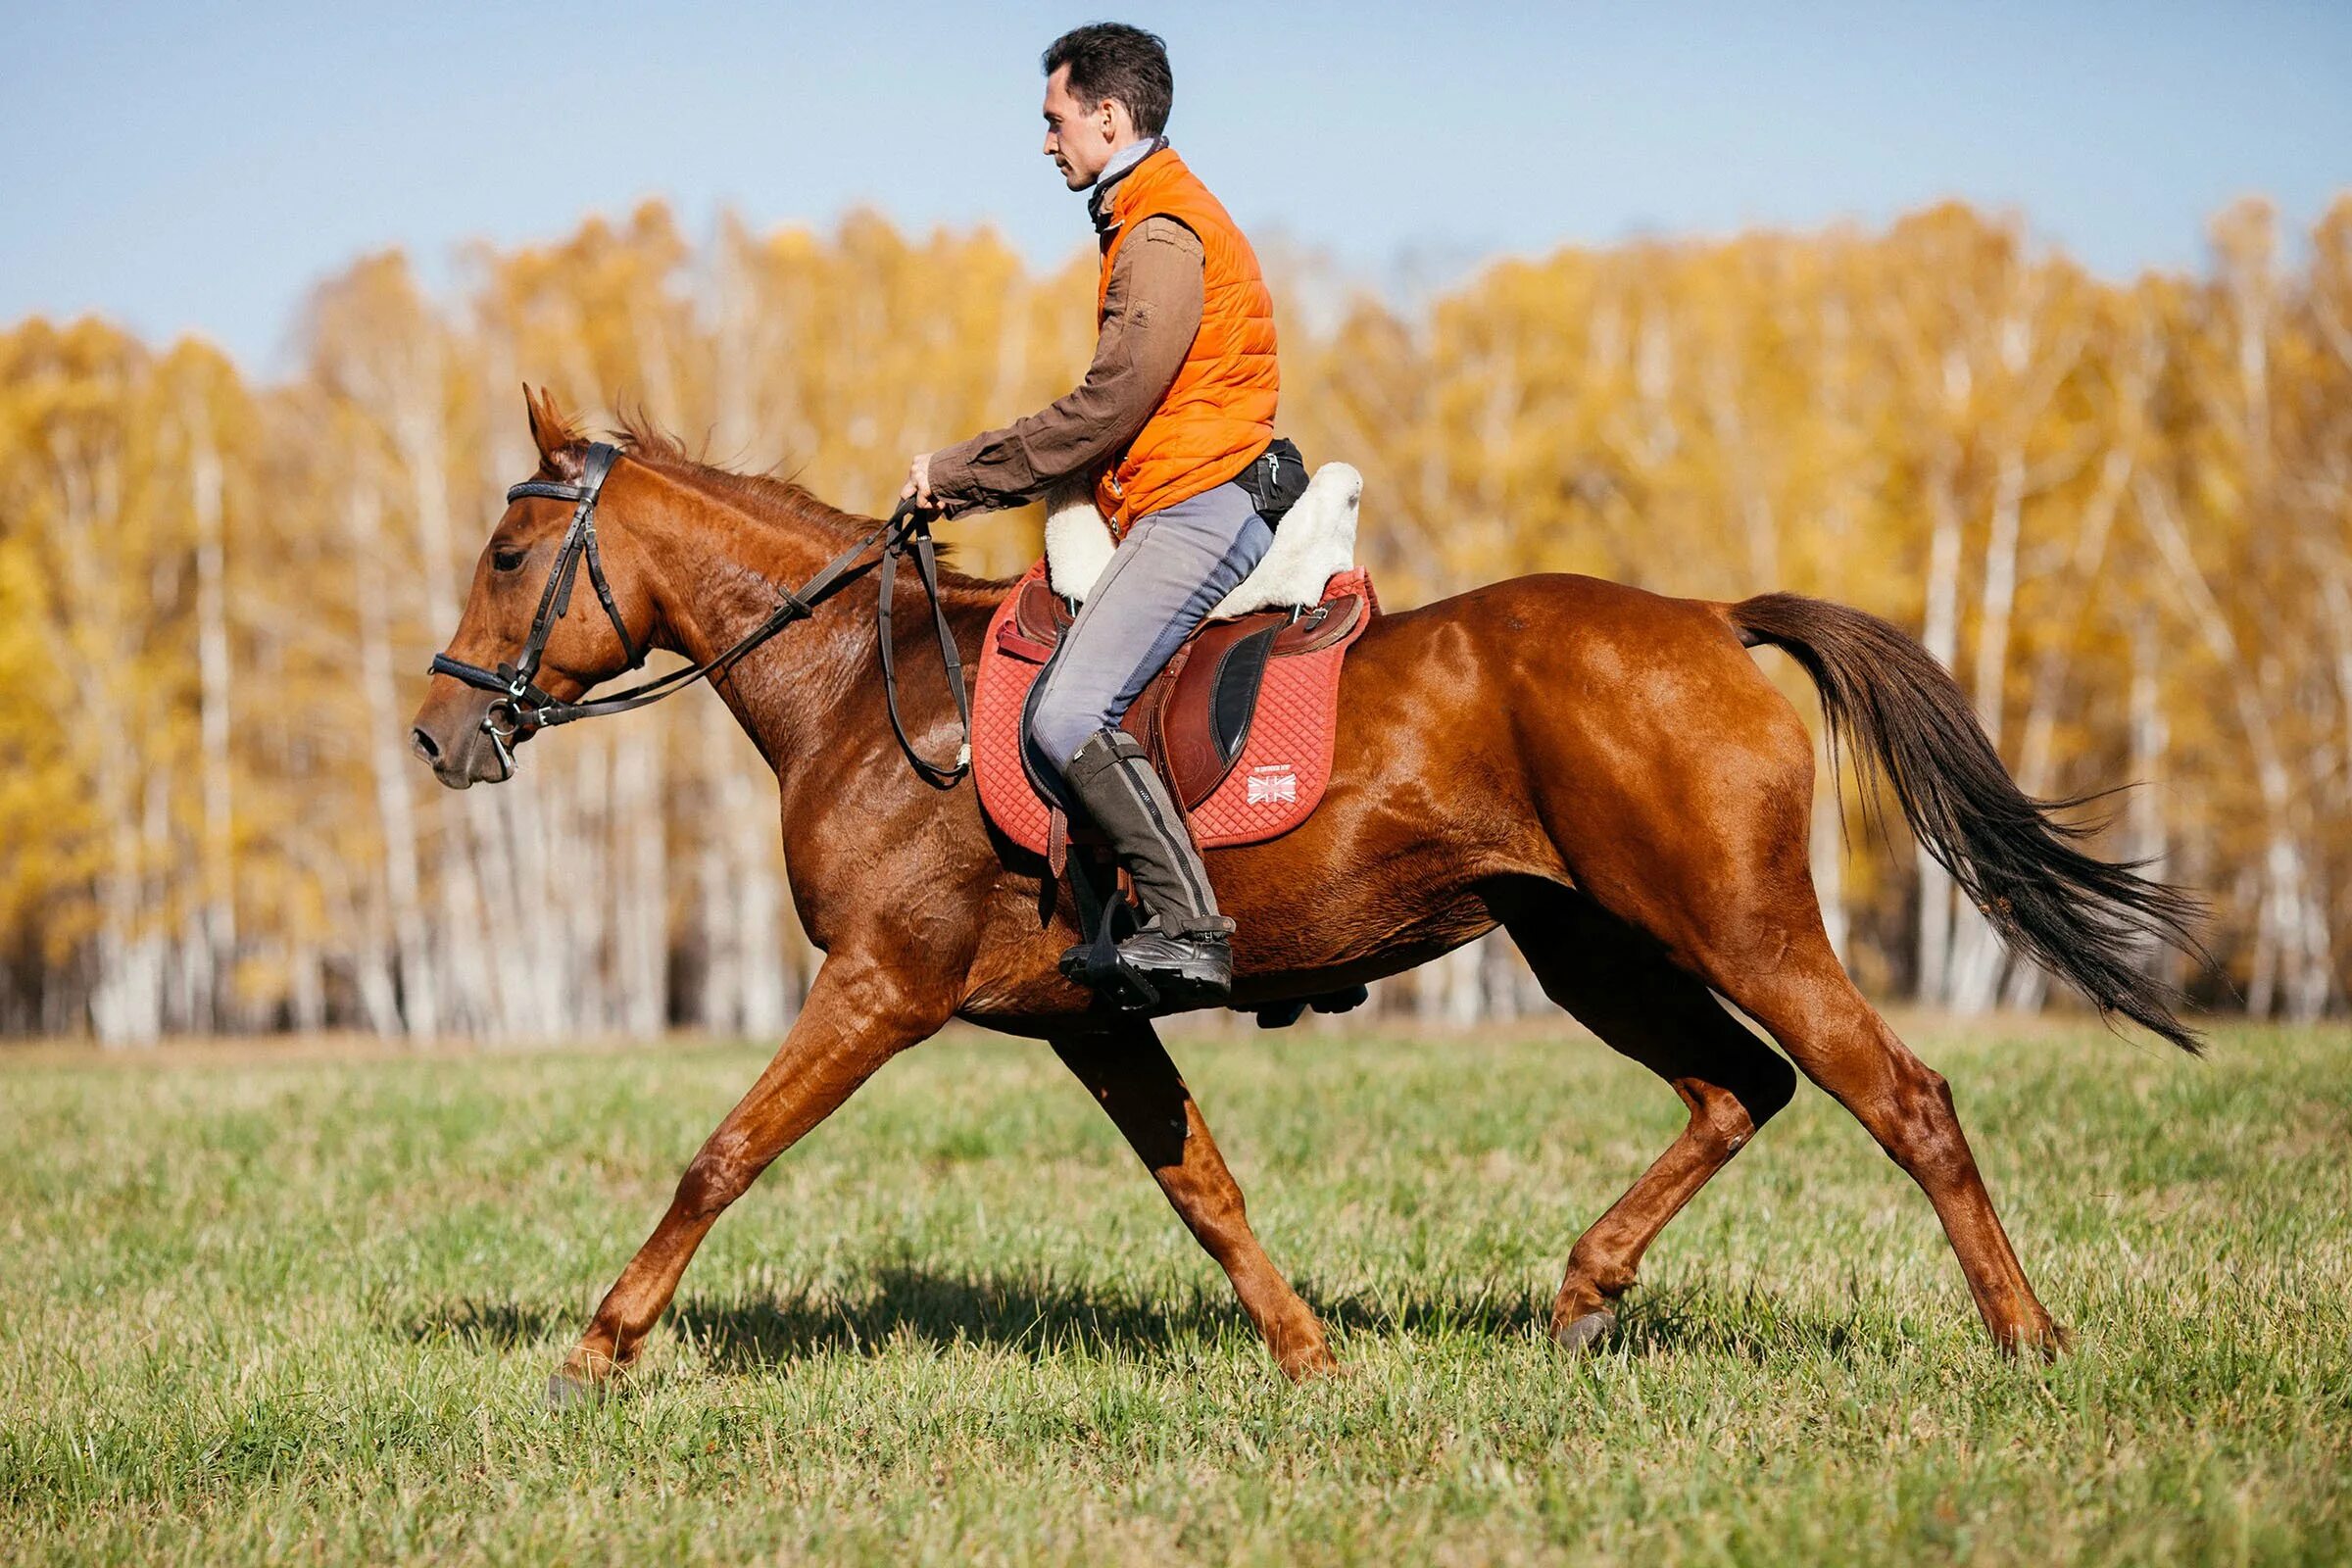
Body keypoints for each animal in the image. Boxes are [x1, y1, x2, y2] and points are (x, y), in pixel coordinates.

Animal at [414, 399, 2191, 1400]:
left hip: (1736, 924)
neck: (871, 686)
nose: (439, 734)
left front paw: (600, 1348)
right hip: (1588, 946)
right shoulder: (1089, 1022)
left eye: (506, 556)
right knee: (1736, 1088)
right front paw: (1310, 1359)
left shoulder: (878, 987)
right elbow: (1206, 1192)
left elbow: (719, 1157)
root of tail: (1702, 617)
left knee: (1901, 1097)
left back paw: (2028, 1342)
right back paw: (1585, 1293)